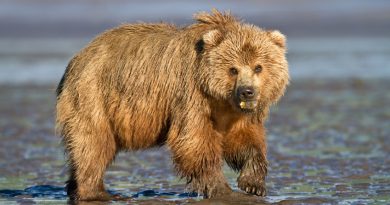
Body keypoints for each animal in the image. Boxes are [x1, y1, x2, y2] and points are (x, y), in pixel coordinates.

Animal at [56, 10, 290, 202]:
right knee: (93, 143)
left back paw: (73, 187)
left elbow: (244, 139)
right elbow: (193, 140)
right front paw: (223, 189)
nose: (247, 91)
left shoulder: (236, 113)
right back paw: (99, 192)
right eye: (233, 69)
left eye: (258, 67)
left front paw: (253, 184)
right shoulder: (191, 94)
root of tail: (77, 58)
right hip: (93, 94)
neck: (219, 98)